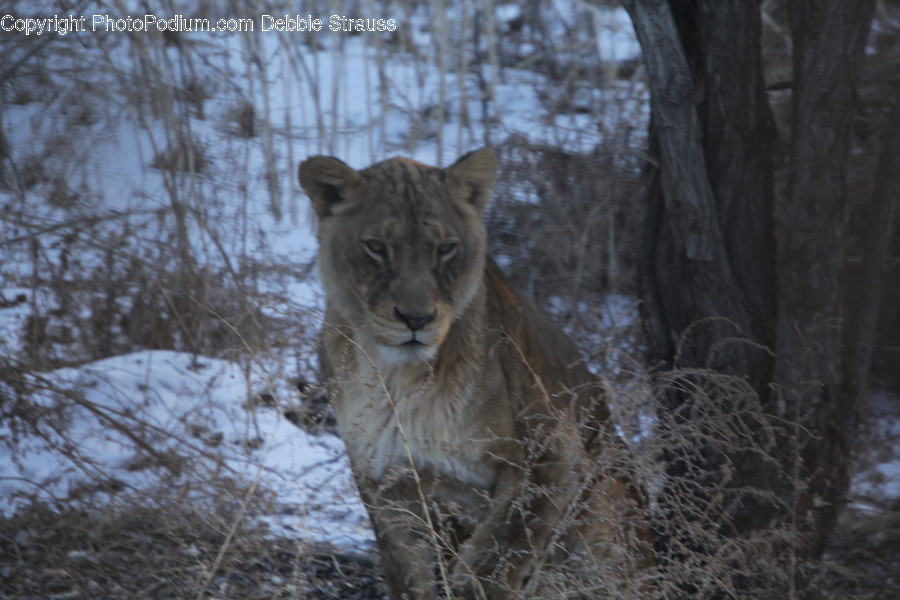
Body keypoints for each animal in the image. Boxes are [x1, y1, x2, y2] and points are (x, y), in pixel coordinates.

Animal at [298, 148, 654, 599]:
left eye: (446, 249)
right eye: (376, 247)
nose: (416, 319)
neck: (399, 376)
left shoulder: (552, 458)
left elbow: (490, 562)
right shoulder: (383, 477)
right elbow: (407, 572)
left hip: (606, 499)